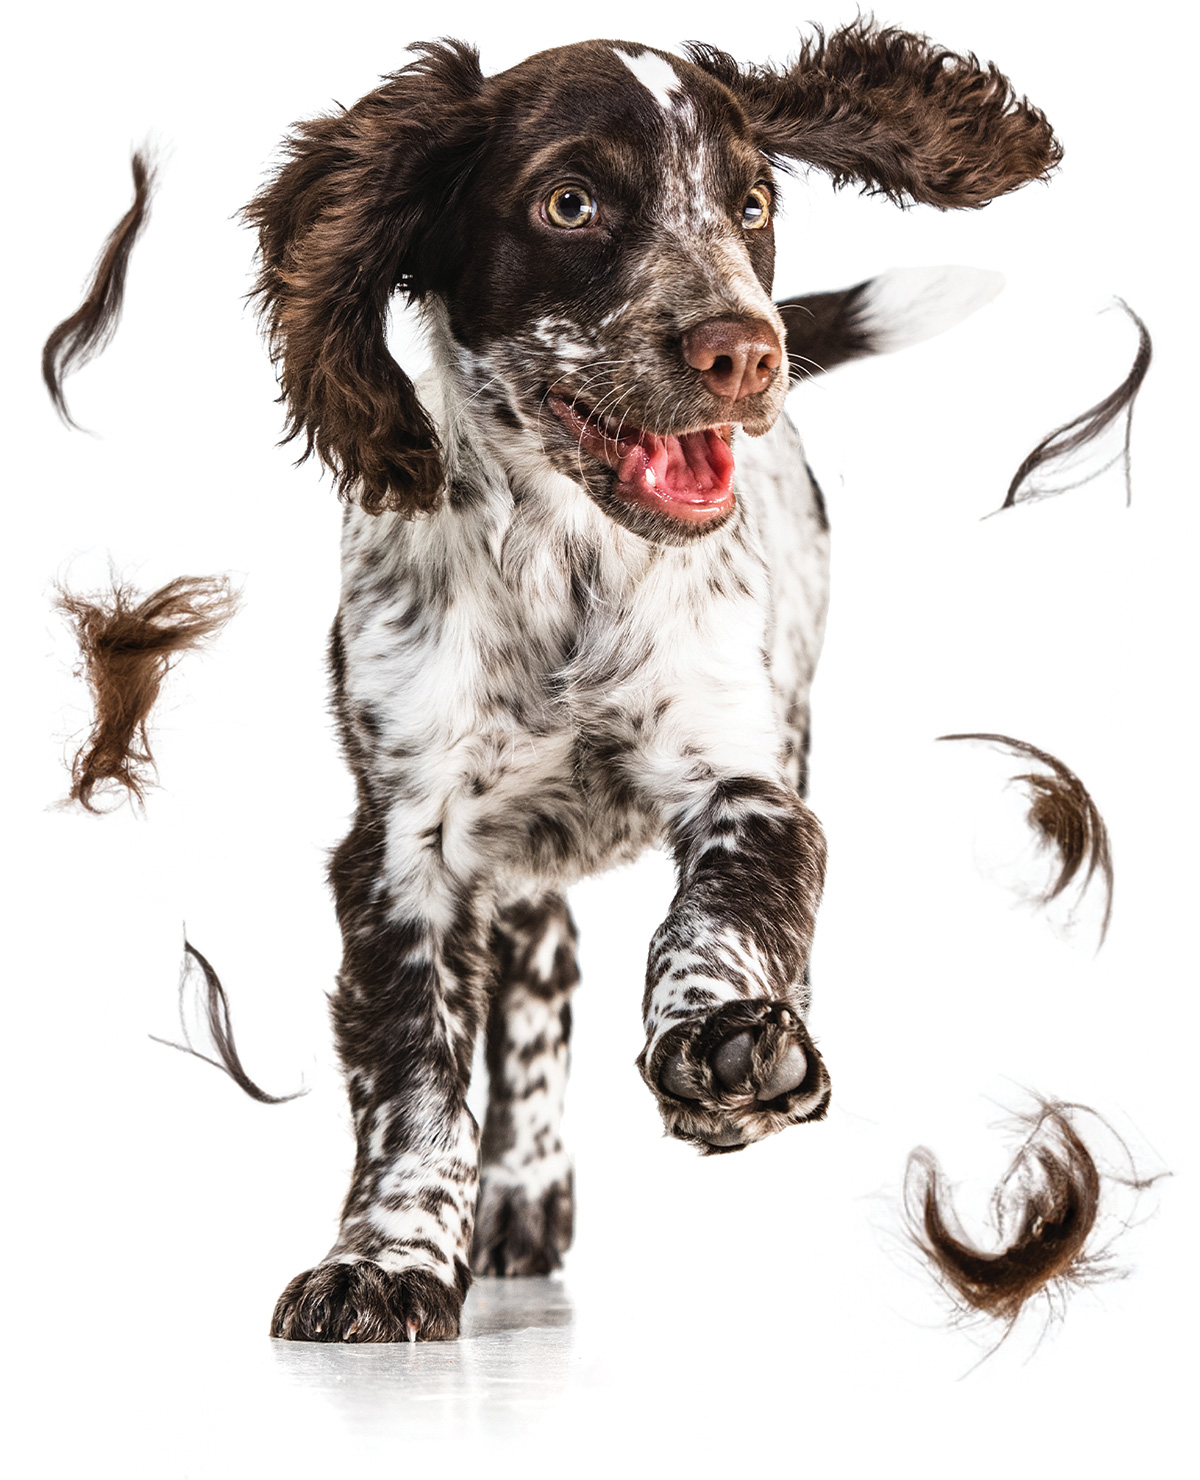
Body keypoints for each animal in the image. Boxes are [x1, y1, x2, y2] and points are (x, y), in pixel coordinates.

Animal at [244, 26, 1059, 1343]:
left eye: (752, 203)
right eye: (569, 203)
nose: (746, 350)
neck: (567, 559)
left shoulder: (745, 778)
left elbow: (722, 916)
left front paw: (724, 1048)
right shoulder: (404, 843)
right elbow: (416, 1071)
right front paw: (389, 1257)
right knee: (538, 992)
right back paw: (520, 1196)